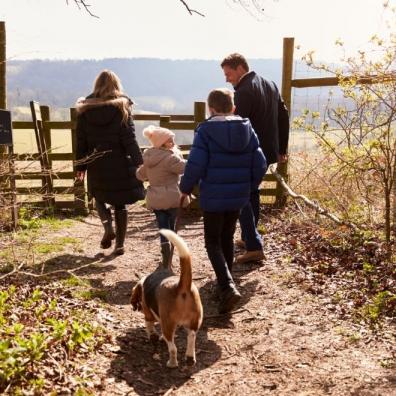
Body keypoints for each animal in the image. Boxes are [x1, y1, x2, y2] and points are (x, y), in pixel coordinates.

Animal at [131, 229, 203, 368]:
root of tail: (180, 286)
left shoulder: (149, 316)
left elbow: (150, 328)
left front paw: (153, 337)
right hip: (194, 323)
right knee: (191, 338)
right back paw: (190, 358)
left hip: (168, 325)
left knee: (173, 348)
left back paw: (172, 363)